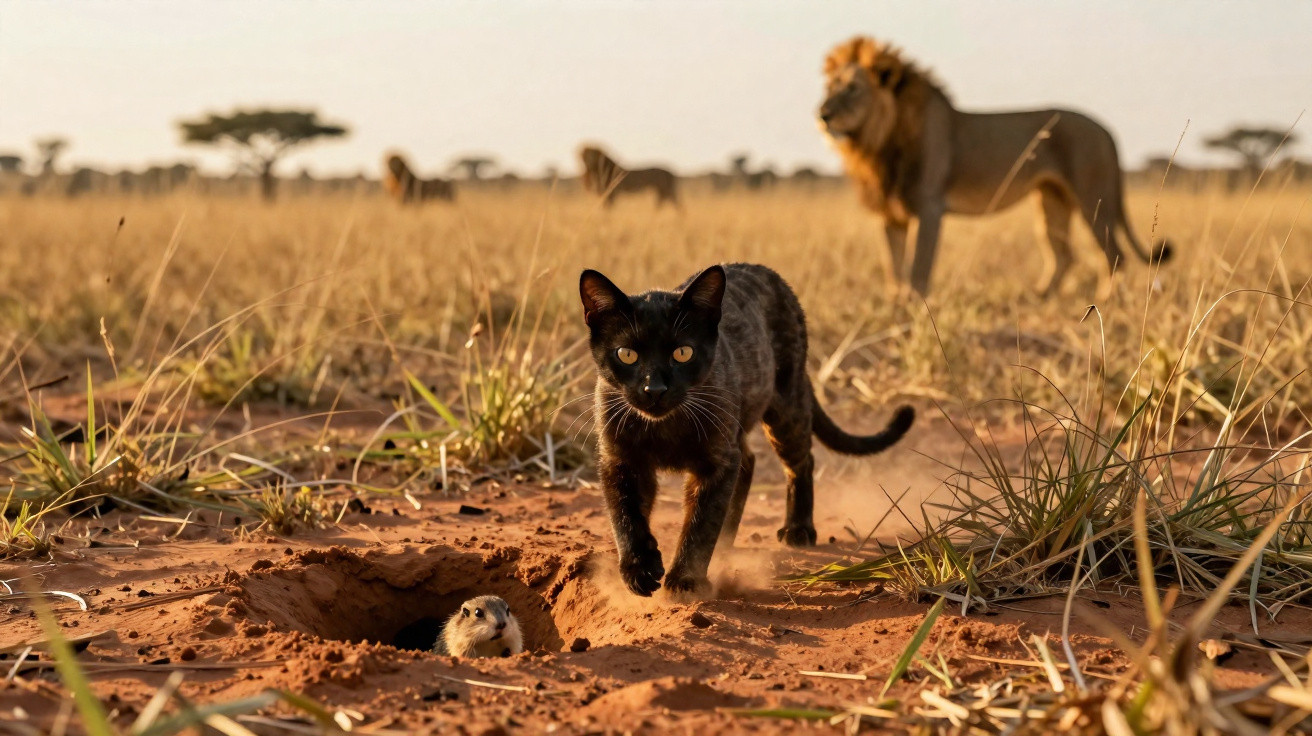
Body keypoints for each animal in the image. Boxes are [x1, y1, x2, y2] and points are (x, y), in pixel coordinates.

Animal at [819, 36, 1170, 297]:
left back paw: (1105, 303)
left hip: (1093, 200)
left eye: (853, 89)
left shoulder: (929, 209)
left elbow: (918, 269)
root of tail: (1107, 130)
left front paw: (916, 309)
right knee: (1064, 256)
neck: (875, 144)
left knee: (1114, 255)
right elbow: (893, 269)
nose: (822, 114)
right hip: (1052, 201)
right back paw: (1039, 297)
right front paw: (895, 306)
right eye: (830, 87)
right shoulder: (891, 215)